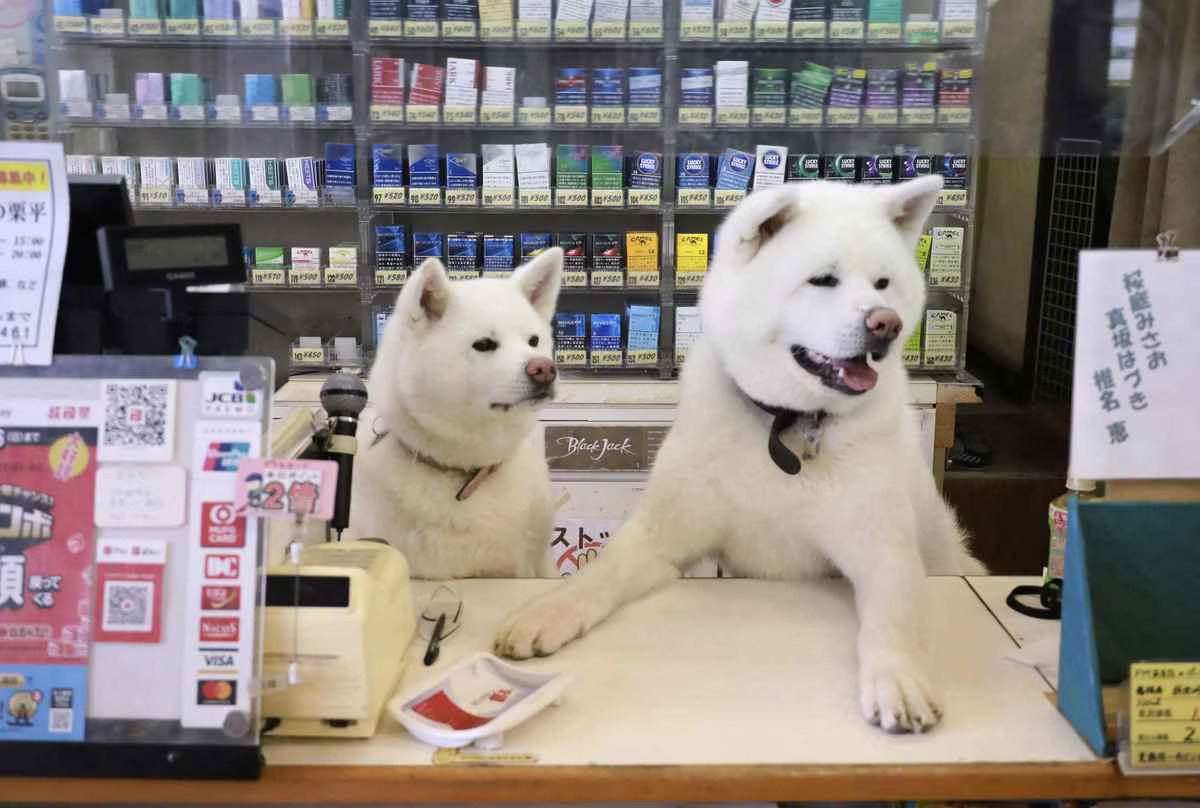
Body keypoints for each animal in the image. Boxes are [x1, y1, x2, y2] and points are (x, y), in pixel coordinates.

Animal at [494, 176, 984, 729]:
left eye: (883, 283)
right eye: (823, 280)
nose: (888, 324)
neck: (785, 424)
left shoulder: (882, 547)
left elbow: (893, 616)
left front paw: (898, 679)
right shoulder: (663, 538)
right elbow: (600, 574)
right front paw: (545, 611)